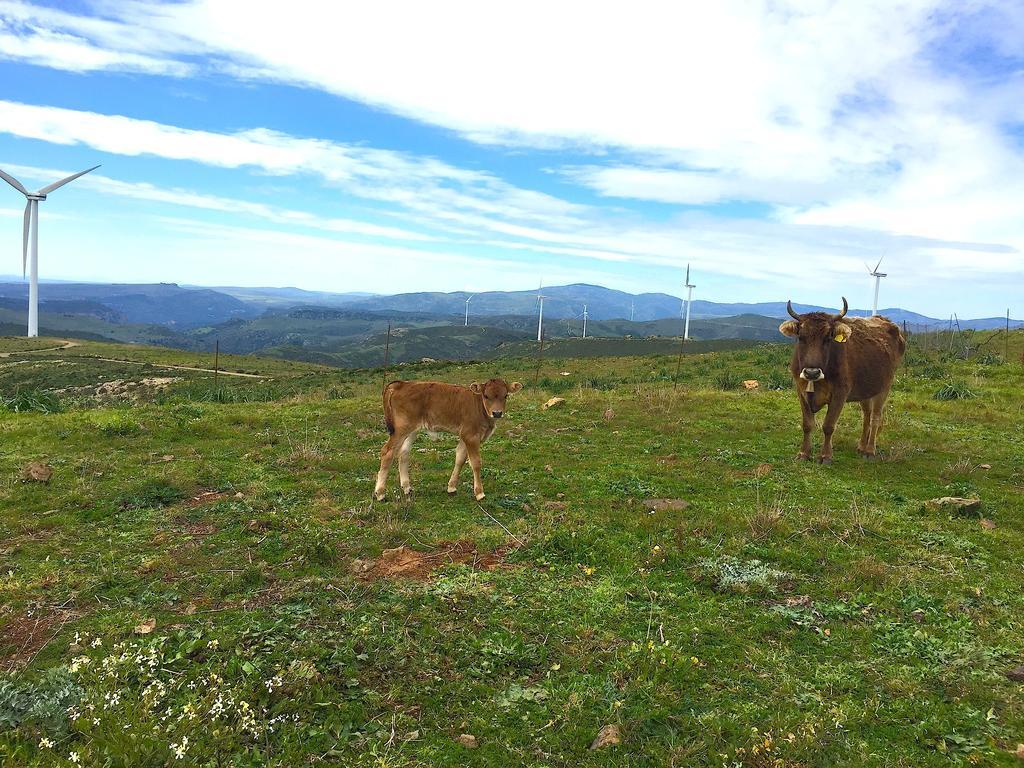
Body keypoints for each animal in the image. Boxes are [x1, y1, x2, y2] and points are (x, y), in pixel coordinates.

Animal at [372, 380, 524, 505]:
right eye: (486, 396)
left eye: (505, 395)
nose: (497, 413)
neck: (480, 407)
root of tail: (401, 384)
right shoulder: (471, 436)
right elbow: (475, 463)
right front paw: (479, 493)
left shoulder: (464, 436)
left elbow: (460, 459)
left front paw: (451, 487)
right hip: (401, 428)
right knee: (387, 452)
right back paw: (380, 493)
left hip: (412, 430)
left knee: (403, 453)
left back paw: (407, 487)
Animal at [774, 299, 905, 462]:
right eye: (801, 337)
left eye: (828, 338)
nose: (812, 372)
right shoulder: (801, 391)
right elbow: (807, 424)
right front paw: (804, 453)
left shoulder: (840, 393)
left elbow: (828, 426)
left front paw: (826, 455)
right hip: (866, 389)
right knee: (866, 415)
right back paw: (861, 446)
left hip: (884, 386)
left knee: (875, 417)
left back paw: (869, 450)